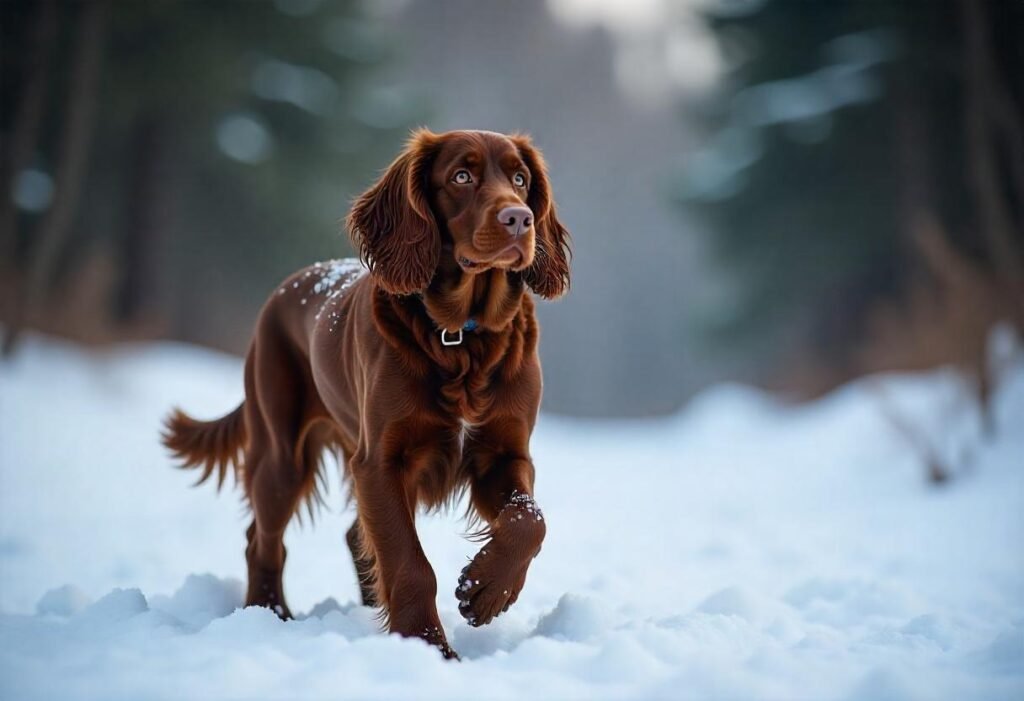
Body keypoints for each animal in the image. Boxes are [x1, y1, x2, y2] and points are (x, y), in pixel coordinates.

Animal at [163, 128, 573, 659]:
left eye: (521, 179)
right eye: (462, 176)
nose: (519, 218)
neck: (461, 338)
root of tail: (287, 286)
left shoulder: (504, 454)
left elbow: (529, 520)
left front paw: (486, 590)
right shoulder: (381, 461)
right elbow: (410, 563)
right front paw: (430, 647)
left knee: (351, 534)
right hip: (280, 454)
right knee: (263, 539)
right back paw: (269, 612)